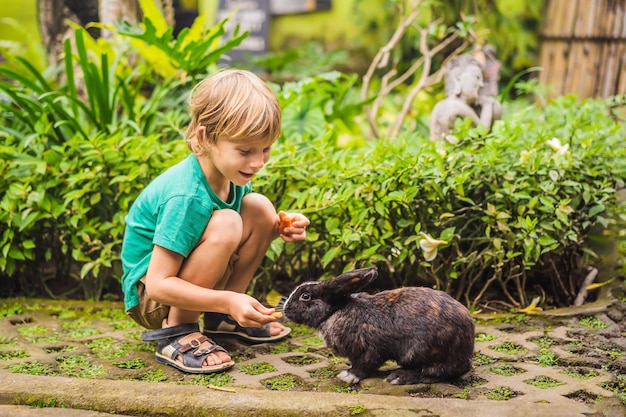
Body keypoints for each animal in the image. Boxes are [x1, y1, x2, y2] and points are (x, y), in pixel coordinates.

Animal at [282, 266, 472, 384]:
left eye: (305, 296)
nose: (285, 309)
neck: (335, 311)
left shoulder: (371, 349)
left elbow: (364, 365)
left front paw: (348, 376)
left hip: (423, 352)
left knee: (436, 372)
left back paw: (399, 377)